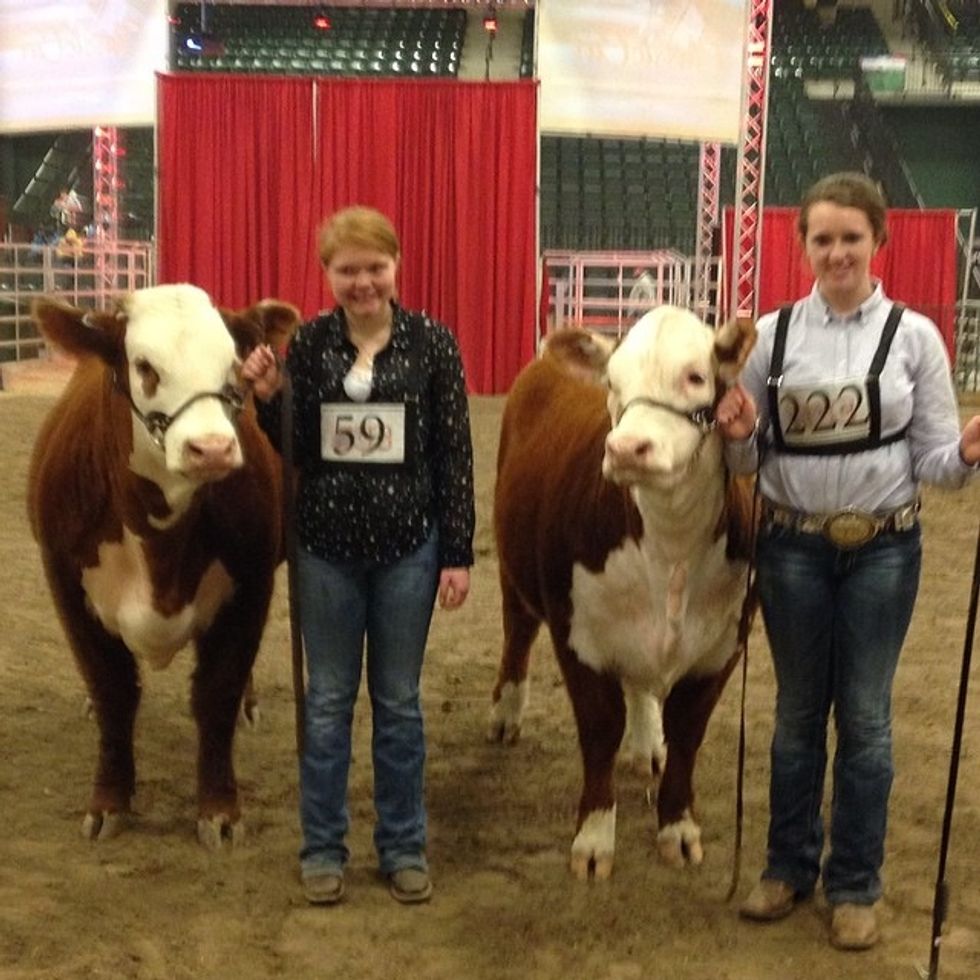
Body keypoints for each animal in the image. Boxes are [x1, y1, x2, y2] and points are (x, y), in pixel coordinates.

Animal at [27, 284, 301, 849]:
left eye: (234, 366)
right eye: (144, 366)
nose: (212, 449)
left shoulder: (253, 579)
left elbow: (217, 693)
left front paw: (220, 812)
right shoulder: (64, 579)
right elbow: (112, 690)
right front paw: (108, 802)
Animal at [489, 305, 757, 880]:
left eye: (696, 376)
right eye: (612, 383)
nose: (627, 449)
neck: (671, 552)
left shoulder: (724, 644)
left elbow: (687, 733)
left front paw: (678, 828)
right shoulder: (576, 634)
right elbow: (599, 729)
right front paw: (593, 840)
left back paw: (646, 742)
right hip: (512, 564)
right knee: (517, 631)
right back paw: (506, 714)